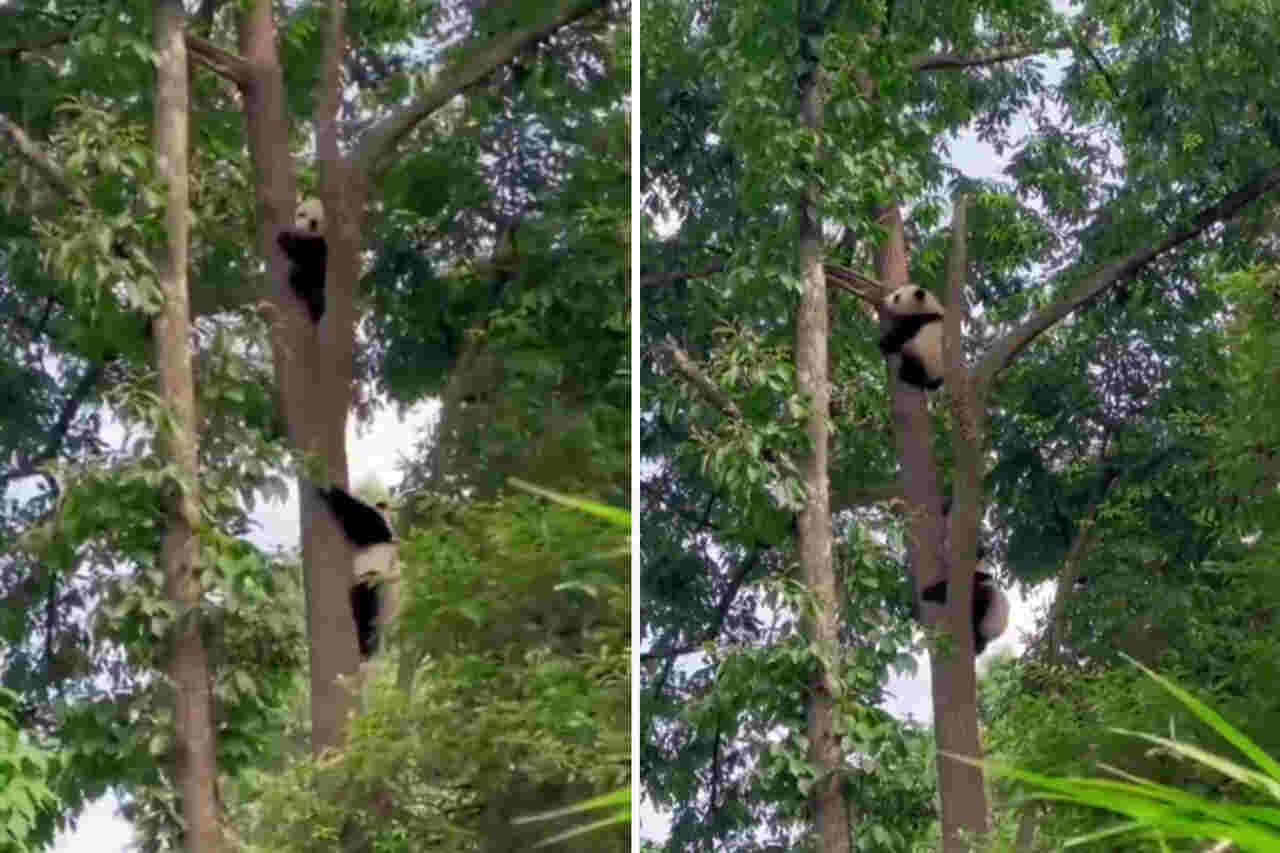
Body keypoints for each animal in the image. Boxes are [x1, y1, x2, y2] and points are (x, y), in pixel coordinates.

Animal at [314, 484, 394, 655]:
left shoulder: (373, 525)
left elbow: (353, 516)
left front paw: (326, 489)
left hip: (369, 581)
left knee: (366, 614)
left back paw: (366, 646)